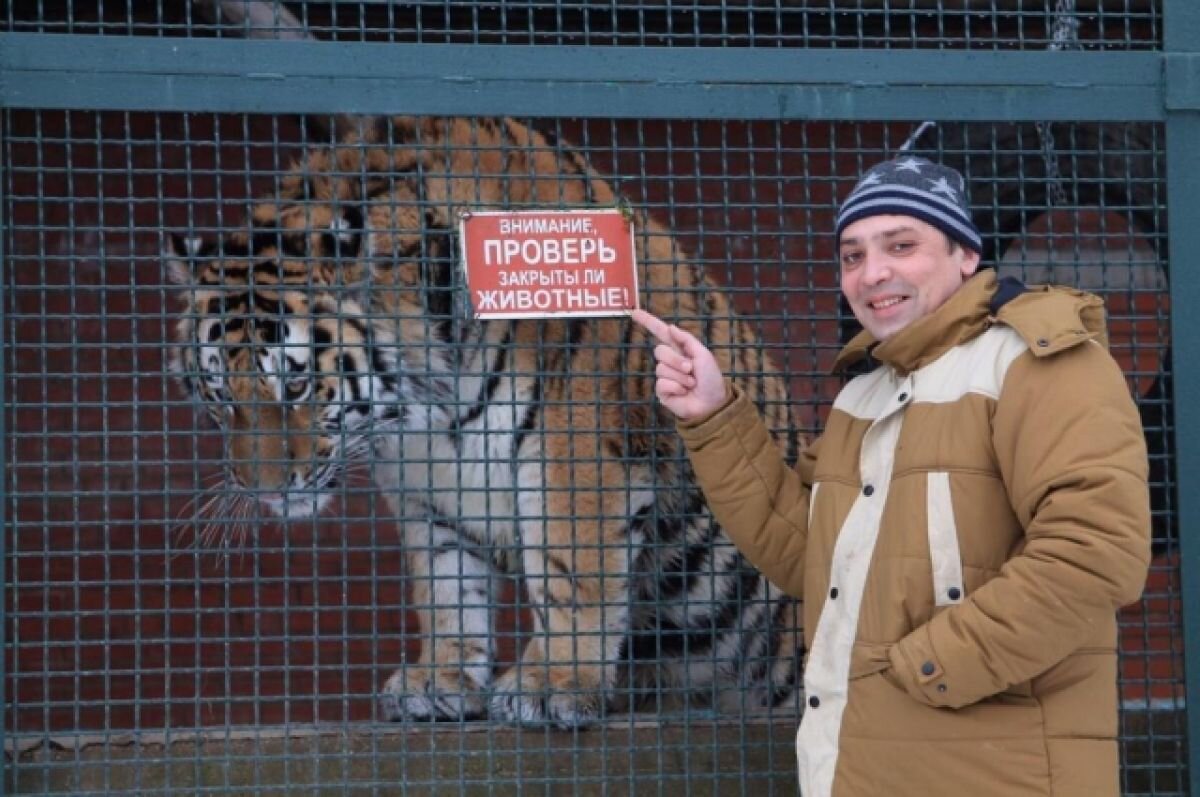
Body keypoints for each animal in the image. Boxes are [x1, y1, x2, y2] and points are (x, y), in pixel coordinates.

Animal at [166, 113, 806, 729]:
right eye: (220, 394)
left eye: (295, 386)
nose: (265, 492)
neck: (425, 407)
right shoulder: (425, 486)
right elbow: (446, 584)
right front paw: (441, 681)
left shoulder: (576, 454)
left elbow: (569, 571)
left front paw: (553, 686)